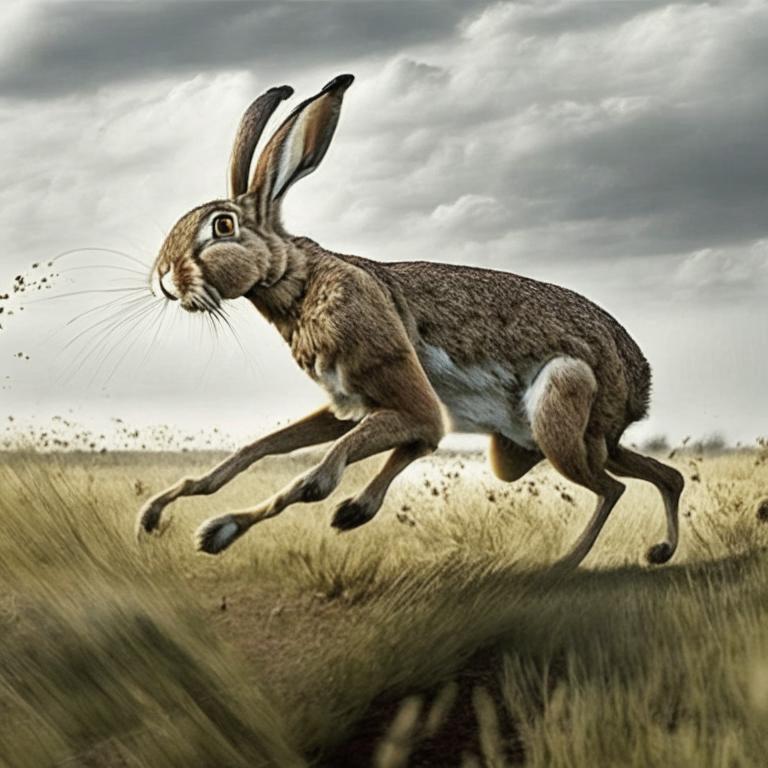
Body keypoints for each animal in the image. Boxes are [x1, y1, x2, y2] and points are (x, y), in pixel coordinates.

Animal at [136, 73, 683, 568]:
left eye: (222, 226)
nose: (163, 278)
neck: (301, 281)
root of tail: (639, 384)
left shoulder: (403, 395)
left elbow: (316, 480)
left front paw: (217, 532)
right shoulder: (348, 404)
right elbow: (254, 450)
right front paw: (152, 516)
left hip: (559, 407)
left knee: (610, 488)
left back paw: (564, 564)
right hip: (556, 444)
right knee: (658, 475)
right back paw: (658, 550)